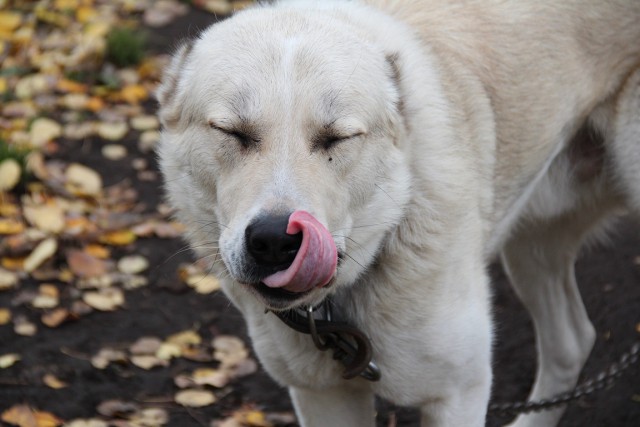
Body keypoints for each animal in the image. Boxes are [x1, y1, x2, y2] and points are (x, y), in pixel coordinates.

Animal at [157, 1, 640, 425]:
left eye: (337, 138)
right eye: (232, 132)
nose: (276, 241)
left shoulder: (459, 394)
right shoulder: (323, 396)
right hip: (531, 246)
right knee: (572, 341)